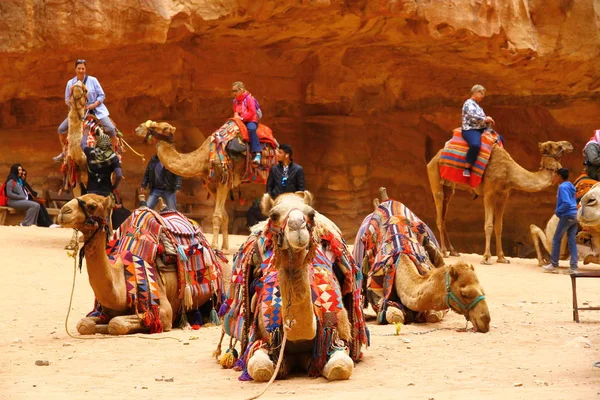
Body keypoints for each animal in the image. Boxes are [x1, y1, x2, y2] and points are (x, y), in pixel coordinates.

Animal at [57, 194, 225, 334]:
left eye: (92, 205)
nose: (64, 211)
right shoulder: (105, 311)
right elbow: (84, 324)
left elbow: (116, 324)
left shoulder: (164, 311)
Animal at [216, 192, 366, 382]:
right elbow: (261, 368)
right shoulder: (263, 338)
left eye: (311, 214)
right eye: (273, 215)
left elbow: (340, 368)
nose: (296, 225)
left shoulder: (337, 337)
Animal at [354, 189, 490, 332]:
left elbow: (433, 316)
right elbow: (396, 316)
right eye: (464, 294)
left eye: (482, 289)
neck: (401, 255)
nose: (485, 320)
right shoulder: (379, 297)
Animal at [426, 139, 572, 264]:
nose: (570, 145)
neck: (509, 172)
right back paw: (443, 252)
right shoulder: (489, 192)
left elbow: (498, 226)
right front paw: (486, 257)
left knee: (444, 213)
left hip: (449, 187)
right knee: (439, 214)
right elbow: (489, 225)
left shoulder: (503, 194)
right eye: (556, 145)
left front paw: (502, 258)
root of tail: (434, 157)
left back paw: (453, 251)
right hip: (434, 175)